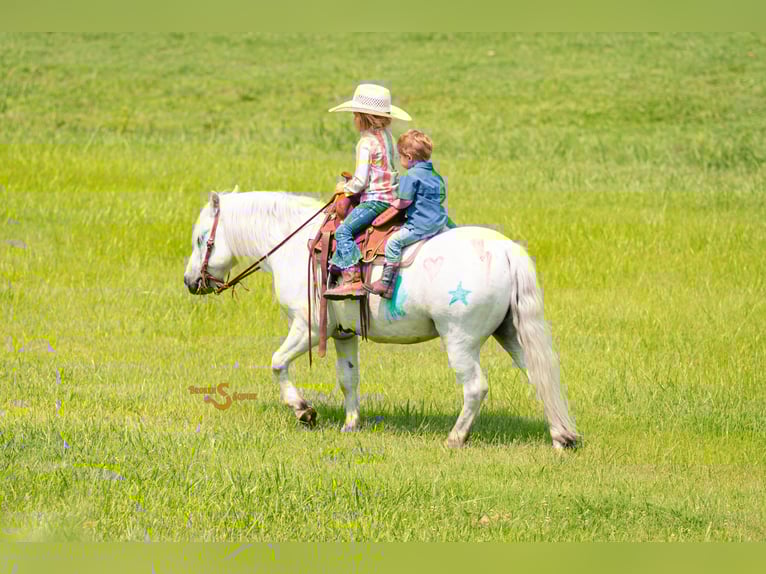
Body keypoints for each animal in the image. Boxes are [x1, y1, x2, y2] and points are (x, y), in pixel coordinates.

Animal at [183, 190, 578, 449]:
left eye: (202, 239)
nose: (189, 282)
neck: (297, 246)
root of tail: (506, 250)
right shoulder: (343, 334)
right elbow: (348, 379)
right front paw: (350, 425)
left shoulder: (308, 328)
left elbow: (278, 363)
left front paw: (304, 411)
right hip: (511, 333)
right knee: (540, 376)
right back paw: (562, 436)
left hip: (460, 340)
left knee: (476, 388)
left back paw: (455, 438)